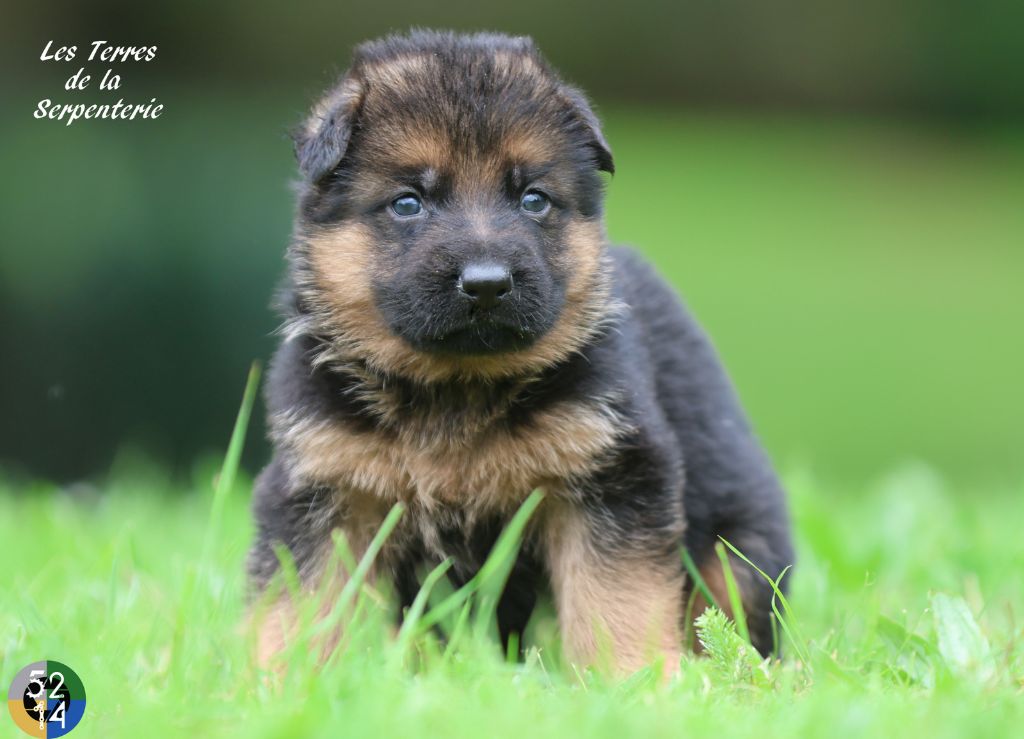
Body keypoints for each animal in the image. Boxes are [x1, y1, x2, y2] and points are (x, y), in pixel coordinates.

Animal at [245, 31, 790, 671]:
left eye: (534, 199)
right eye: (408, 203)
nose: (486, 284)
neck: (456, 388)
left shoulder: (613, 478)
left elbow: (617, 601)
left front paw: (636, 680)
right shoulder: (322, 488)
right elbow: (299, 603)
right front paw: (277, 680)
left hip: (736, 553)